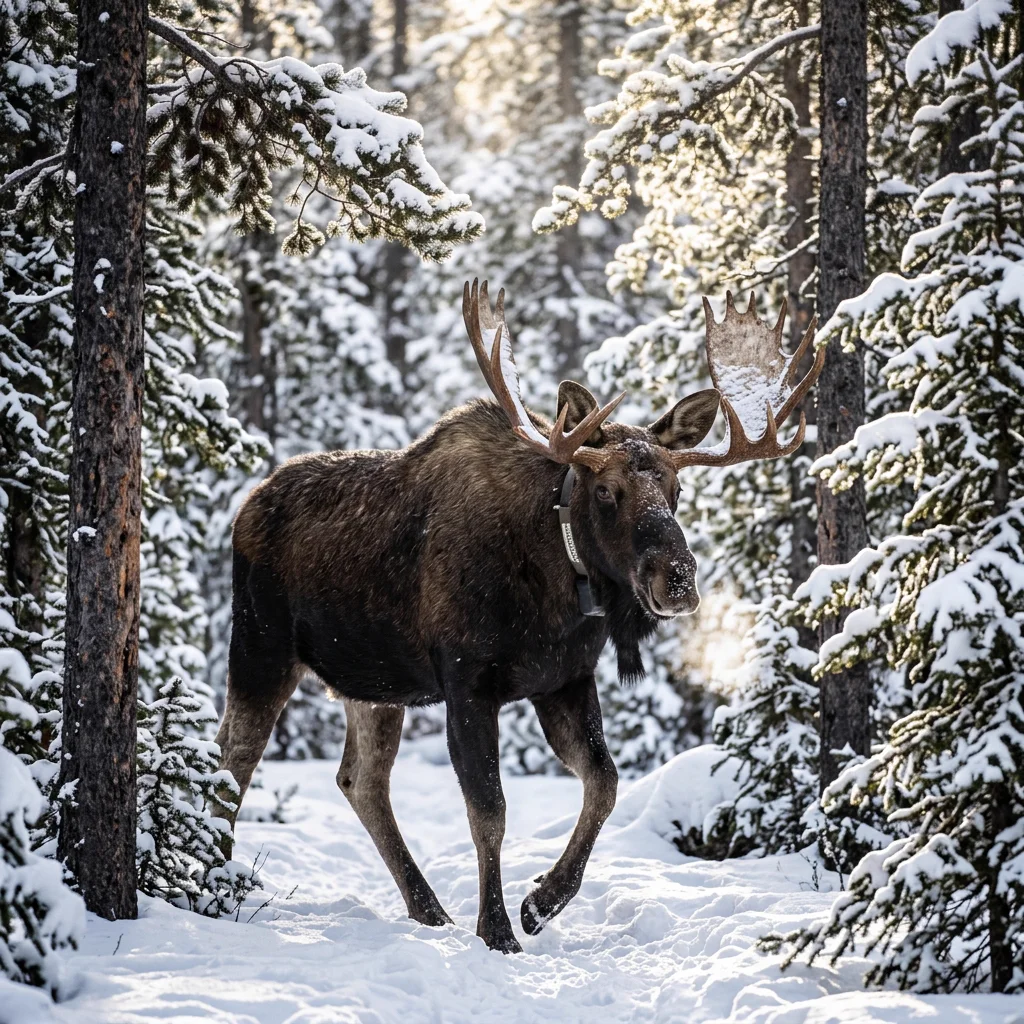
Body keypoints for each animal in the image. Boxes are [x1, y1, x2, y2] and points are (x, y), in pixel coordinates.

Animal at [213, 281, 823, 953]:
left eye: (676, 490)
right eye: (606, 492)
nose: (680, 579)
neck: (558, 593)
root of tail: (245, 508)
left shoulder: (564, 681)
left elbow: (605, 783)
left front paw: (541, 902)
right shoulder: (467, 683)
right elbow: (490, 811)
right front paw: (498, 930)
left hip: (374, 684)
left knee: (361, 780)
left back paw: (428, 909)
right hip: (261, 645)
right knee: (232, 758)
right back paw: (211, 882)